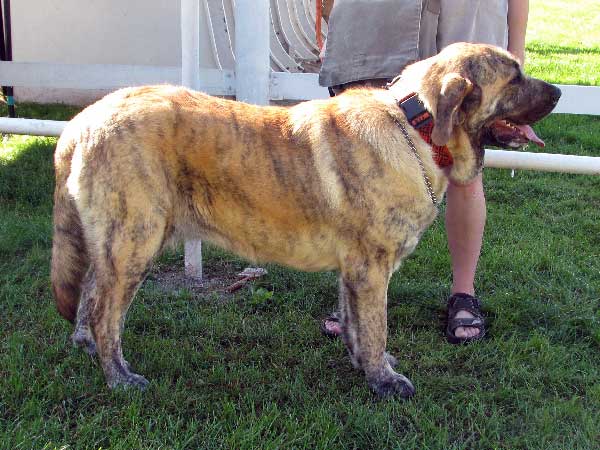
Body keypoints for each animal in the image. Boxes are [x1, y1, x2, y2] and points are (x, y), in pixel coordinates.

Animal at [52, 44, 564, 398]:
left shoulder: (354, 269)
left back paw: (86, 346)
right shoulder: (371, 268)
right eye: (515, 78)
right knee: (105, 311)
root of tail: (82, 122)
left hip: (119, 242)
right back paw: (119, 377)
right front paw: (384, 379)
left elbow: (355, 323)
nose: (560, 91)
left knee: (91, 294)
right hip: (135, 239)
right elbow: (375, 326)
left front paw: (364, 364)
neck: (416, 128)